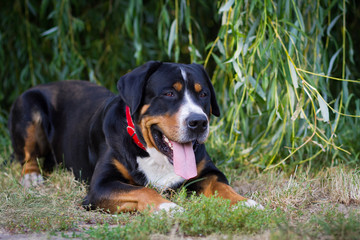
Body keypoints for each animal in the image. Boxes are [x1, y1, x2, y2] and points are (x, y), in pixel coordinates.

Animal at [7, 61, 262, 212]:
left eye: (203, 94)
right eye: (169, 93)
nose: (198, 122)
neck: (154, 155)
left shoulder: (207, 171)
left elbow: (221, 186)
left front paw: (245, 202)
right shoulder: (100, 186)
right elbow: (143, 189)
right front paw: (167, 208)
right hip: (30, 105)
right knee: (27, 157)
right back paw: (32, 177)